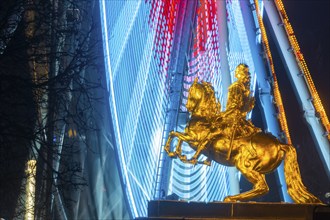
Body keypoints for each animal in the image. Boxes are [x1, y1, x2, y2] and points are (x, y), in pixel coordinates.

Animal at [166, 80, 320, 204]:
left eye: (192, 91)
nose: (188, 107)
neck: (203, 118)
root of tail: (280, 144)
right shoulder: (190, 137)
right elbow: (177, 136)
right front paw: (178, 154)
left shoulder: (195, 140)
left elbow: (176, 135)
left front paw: (175, 153)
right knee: (260, 186)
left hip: (244, 165)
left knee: (261, 186)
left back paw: (230, 198)